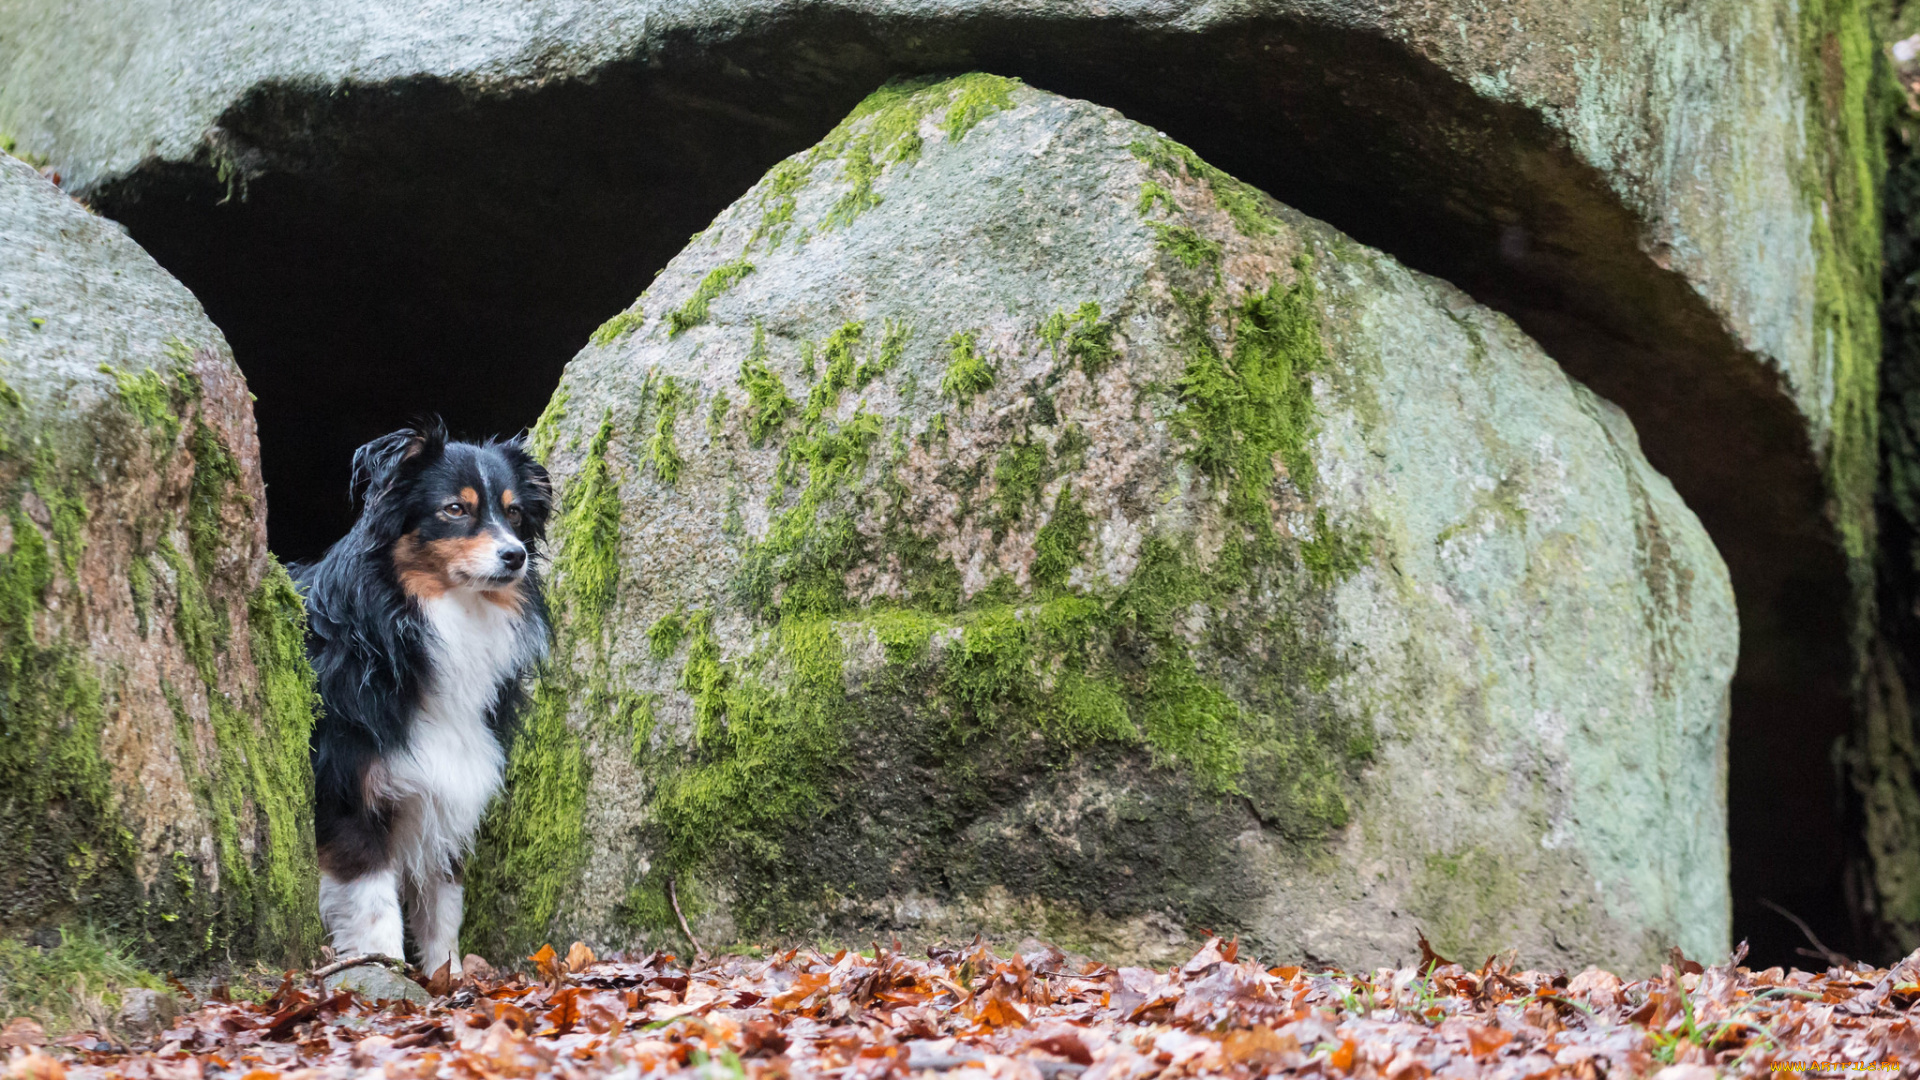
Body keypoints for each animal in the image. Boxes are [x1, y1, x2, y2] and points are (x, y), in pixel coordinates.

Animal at [291, 417, 552, 972]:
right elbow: (373, 903)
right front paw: (387, 973)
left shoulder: (451, 783)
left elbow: (443, 903)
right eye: (454, 509)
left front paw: (446, 977)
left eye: (514, 512)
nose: (514, 555)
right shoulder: (347, 791)